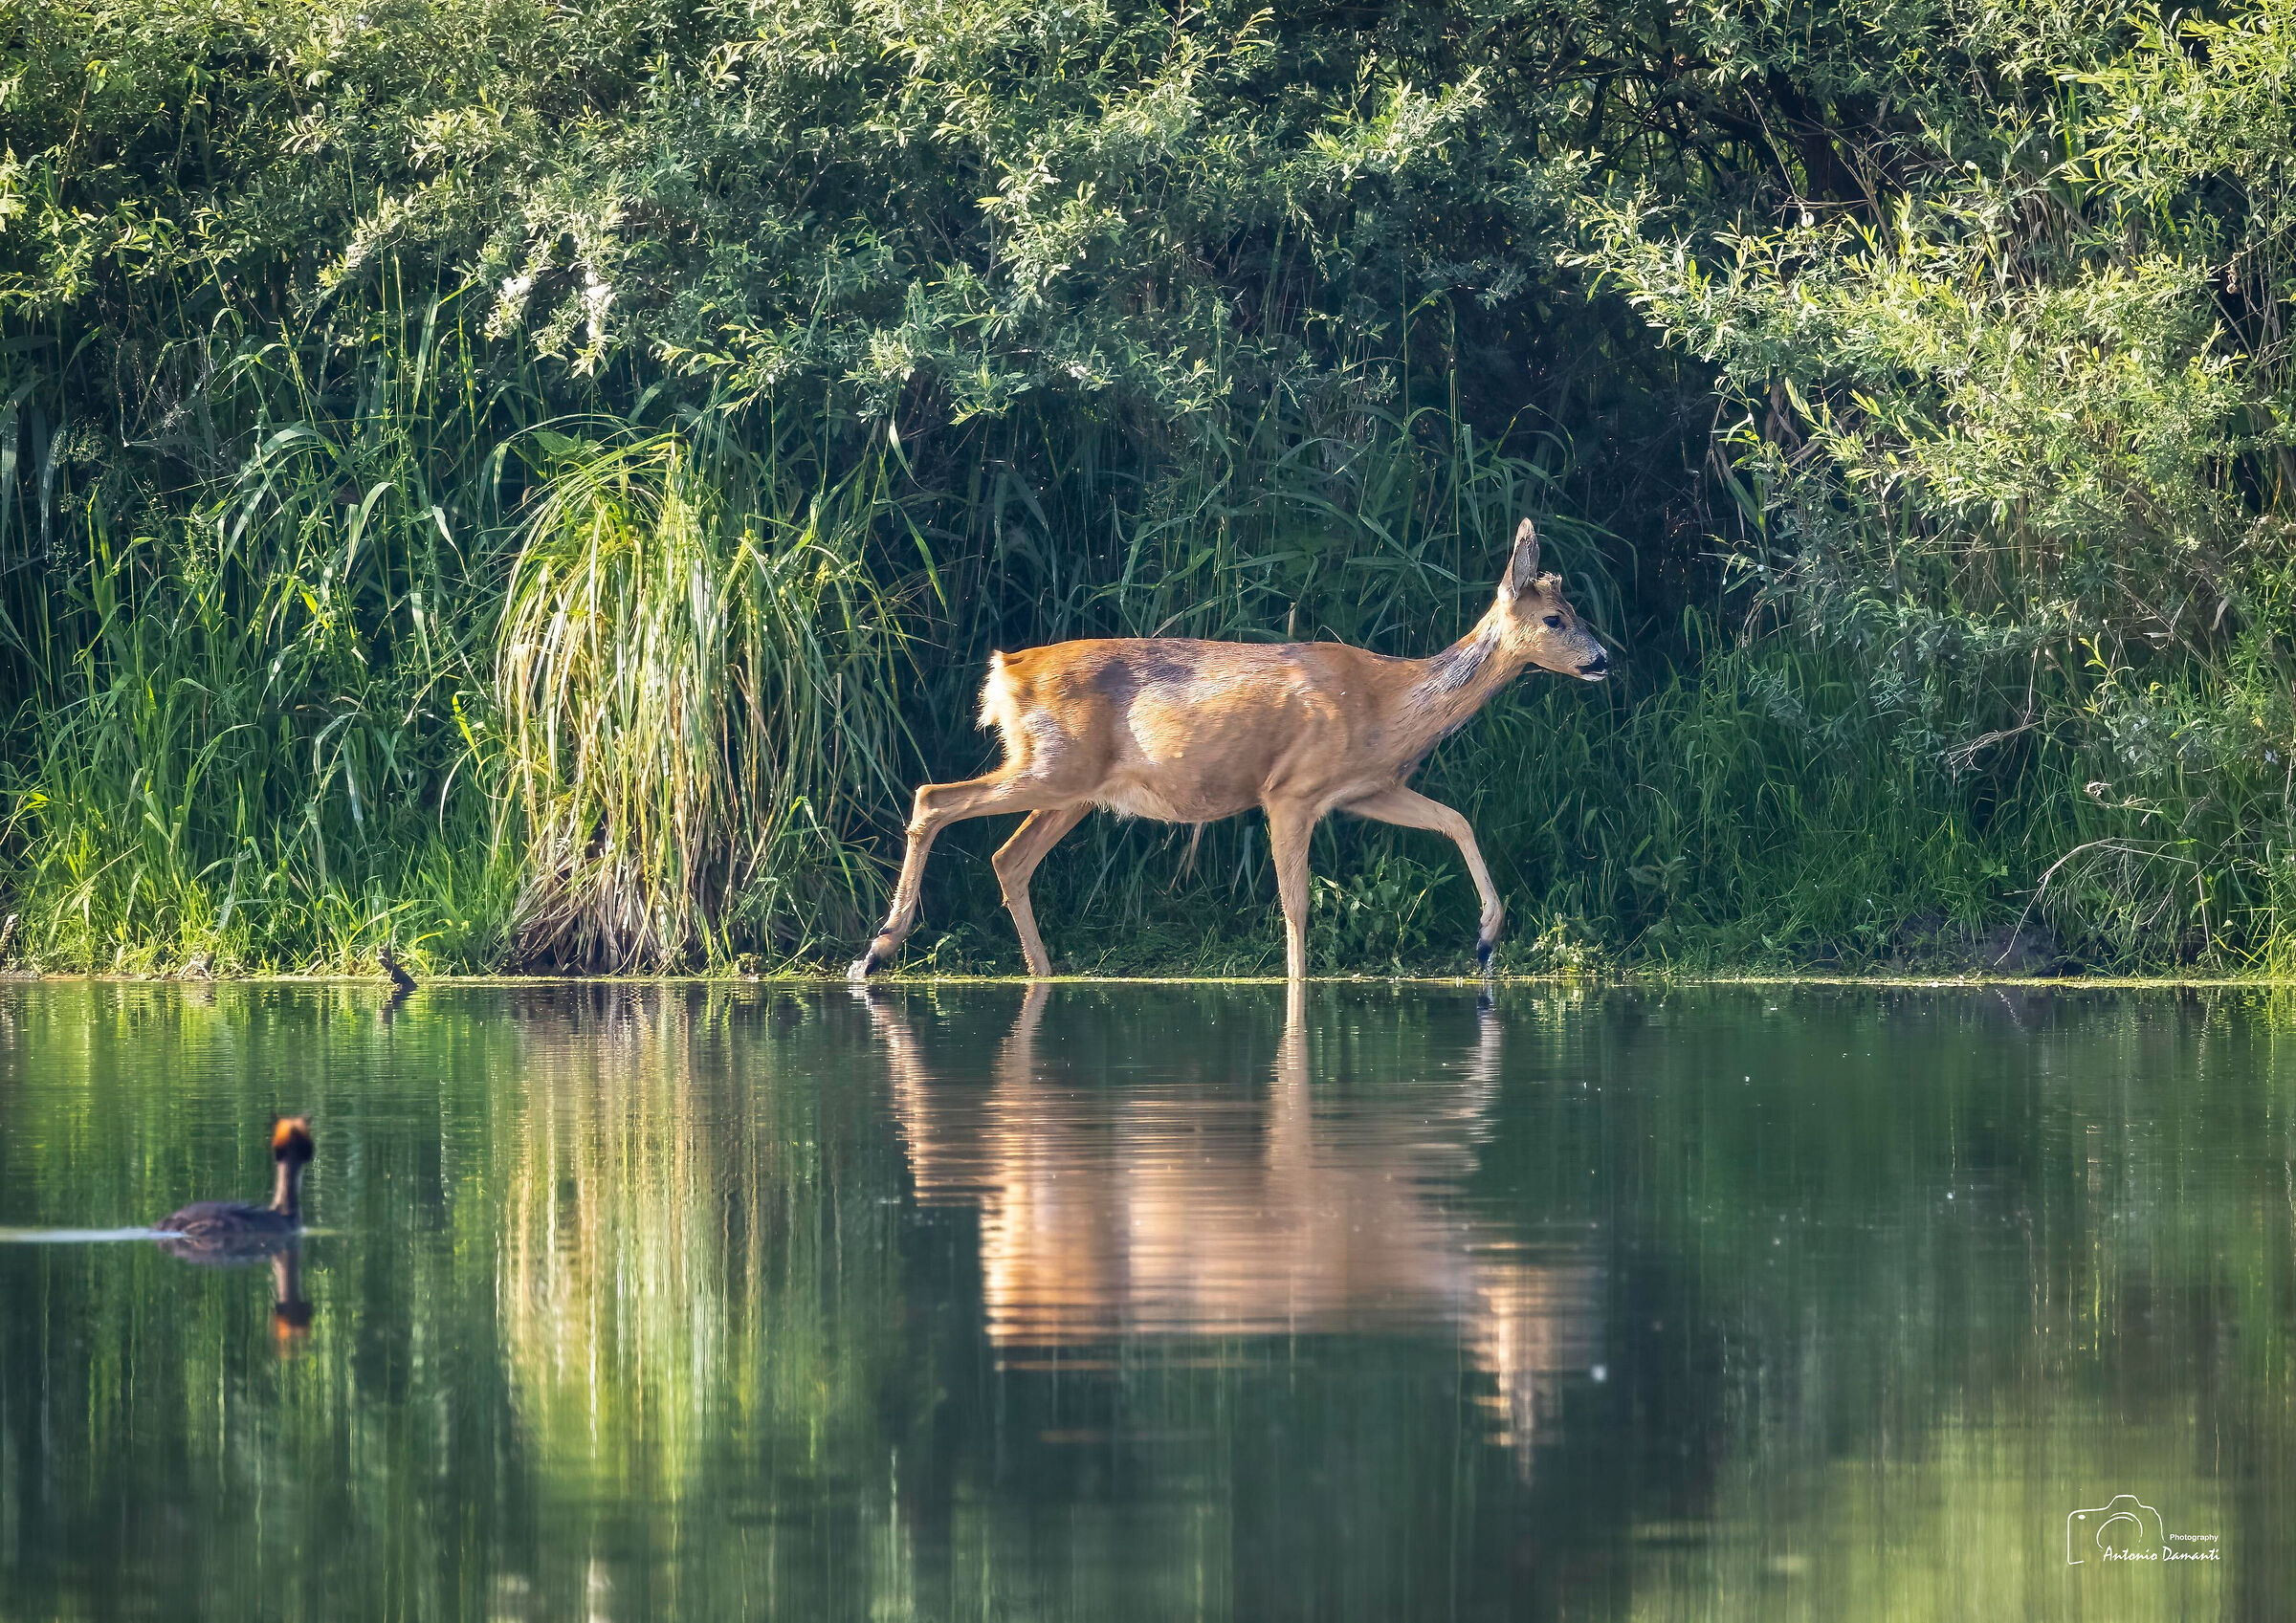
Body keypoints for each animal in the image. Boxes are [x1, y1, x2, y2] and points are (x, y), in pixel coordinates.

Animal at [847, 518, 1610, 982]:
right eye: (1556, 619)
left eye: (1576, 613)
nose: (1603, 659)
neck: (1388, 704)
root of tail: (1003, 670)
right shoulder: (1290, 790)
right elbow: (1296, 901)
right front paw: (1300, 983)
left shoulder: (1367, 789)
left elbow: (1457, 820)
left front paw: (1486, 939)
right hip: (1051, 765)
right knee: (934, 798)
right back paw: (877, 951)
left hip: (1075, 789)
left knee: (1009, 858)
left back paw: (1041, 972)